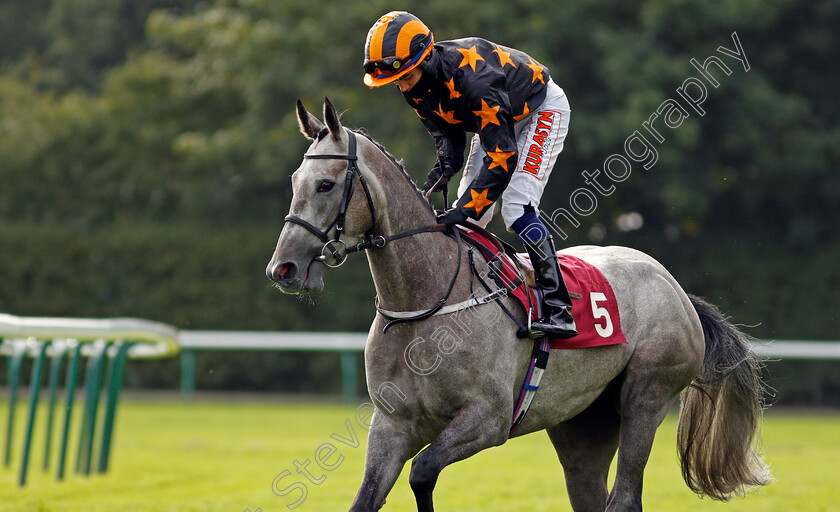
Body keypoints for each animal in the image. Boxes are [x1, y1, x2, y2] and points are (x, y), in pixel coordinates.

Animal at [266, 98, 772, 510]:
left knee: (625, 498)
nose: (283, 268)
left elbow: (423, 473)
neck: (426, 303)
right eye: (294, 180)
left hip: (646, 395)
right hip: (581, 424)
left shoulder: (487, 420)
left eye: (326, 184)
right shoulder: (392, 425)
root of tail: (676, 289)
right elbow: (368, 498)